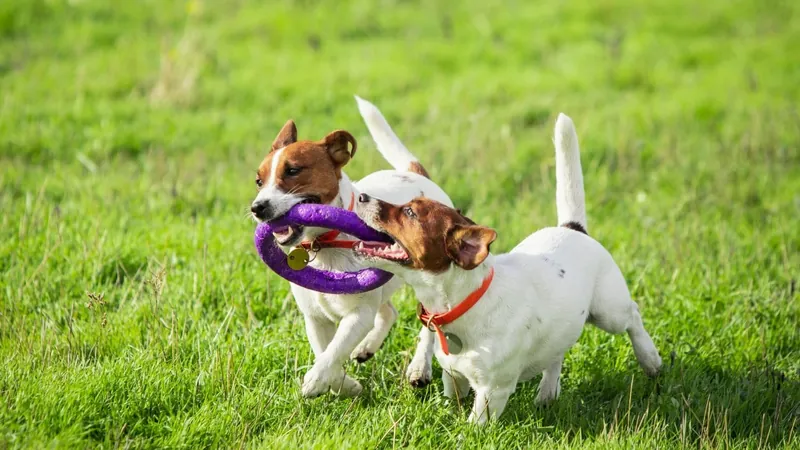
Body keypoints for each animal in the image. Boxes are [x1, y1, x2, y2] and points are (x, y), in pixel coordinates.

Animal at [252, 96, 450, 396]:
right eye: (258, 181)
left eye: (293, 170)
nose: (257, 208)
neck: (324, 245)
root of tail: (415, 175)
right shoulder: (315, 318)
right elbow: (325, 352)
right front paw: (345, 385)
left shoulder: (358, 315)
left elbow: (334, 351)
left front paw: (316, 380)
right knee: (388, 312)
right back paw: (367, 348)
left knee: (428, 325)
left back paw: (419, 367)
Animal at [354, 114, 660, 424]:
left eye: (410, 213)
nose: (362, 196)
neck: (464, 303)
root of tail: (573, 228)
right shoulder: (454, 376)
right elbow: (454, 398)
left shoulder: (493, 391)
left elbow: (474, 424)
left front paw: (464, 431)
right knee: (557, 353)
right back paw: (547, 393)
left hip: (609, 311)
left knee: (633, 315)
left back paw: (650, 359)